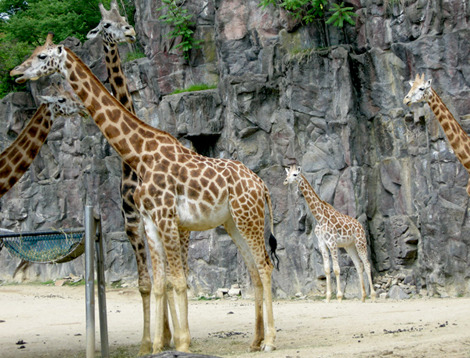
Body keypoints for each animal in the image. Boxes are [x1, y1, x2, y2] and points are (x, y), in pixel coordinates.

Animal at [11, 35, 280, 354]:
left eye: (42, 56)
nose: (15, 72)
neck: (139, 155)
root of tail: (262, 185)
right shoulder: (150, 221)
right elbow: (160, 282)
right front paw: (157, 347)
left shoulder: (166, 217)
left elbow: (178, 280)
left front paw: (182, 344)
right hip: (233, 222)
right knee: (253, 270)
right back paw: (255, 340)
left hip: (248, 217)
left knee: (264, 266)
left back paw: (270, 342)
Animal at [282, 164, 374, 302]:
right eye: (287, 174)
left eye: (295, 174)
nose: (285, 181)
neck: (319, 217)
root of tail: (360, 226)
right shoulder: (322, 244)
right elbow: (326, 270)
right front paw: (328, 297)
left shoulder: (332, 242)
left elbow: (336, 269)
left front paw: (339, 297)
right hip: (349, 246)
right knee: (359, 265)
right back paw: (363, 298)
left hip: (360, 242)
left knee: (367, 264)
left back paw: (372, 296)